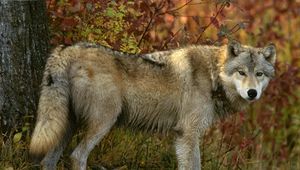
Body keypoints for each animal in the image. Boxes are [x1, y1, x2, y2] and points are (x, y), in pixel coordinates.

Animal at [29, 40, 276, 169]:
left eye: (259, 74)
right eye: (241, 72)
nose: (252, 93)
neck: (213, 75)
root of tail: (68, 48)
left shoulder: (187, 135)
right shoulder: (187, 133)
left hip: (65, 125)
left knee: (48, 159)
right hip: (103, 122)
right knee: (77, 156)